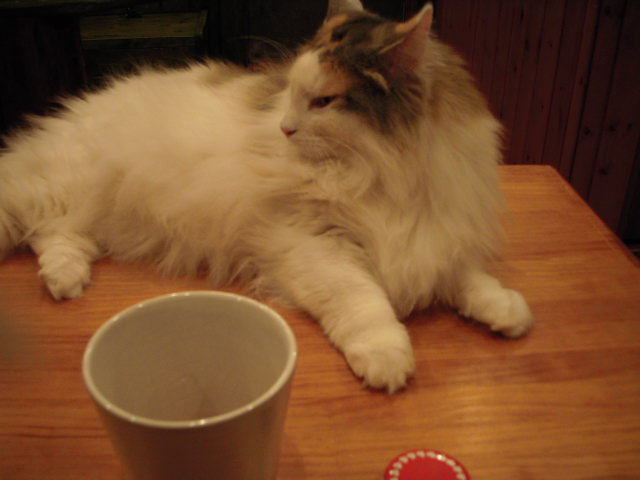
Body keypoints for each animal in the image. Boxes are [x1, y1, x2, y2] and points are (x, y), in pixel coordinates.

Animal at [0, 0, 534, 393]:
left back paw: (65, 281)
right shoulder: (314, 243)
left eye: (323, 101)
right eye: (292, 95)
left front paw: (508, 312)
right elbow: (365, 301)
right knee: (44, 228)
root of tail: (73, 114)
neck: (386, 169)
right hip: (49, 191)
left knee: (58, 237)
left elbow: (467, 278)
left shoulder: (436, 230)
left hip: (91, 216)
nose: (286, 128)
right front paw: (387, 359)